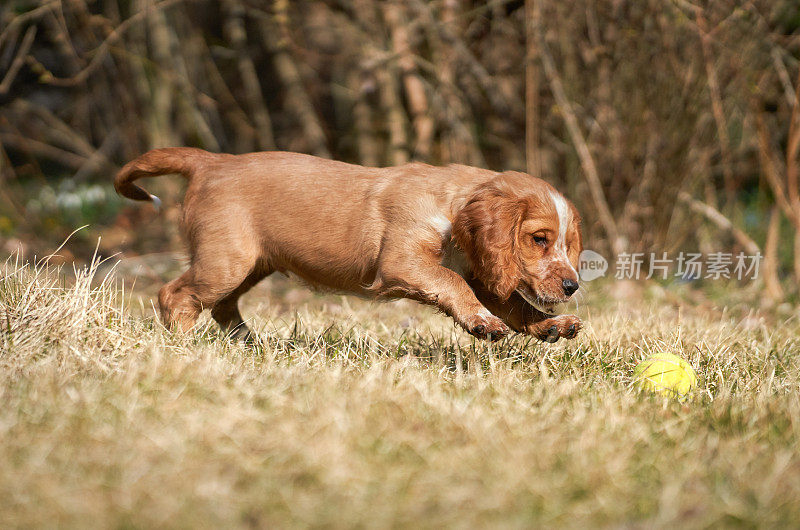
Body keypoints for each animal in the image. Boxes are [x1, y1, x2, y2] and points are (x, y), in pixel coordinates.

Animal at [114, 146, 580, 340]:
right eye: (539, 239)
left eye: (568, 244)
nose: (573, 286)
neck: (450, 203)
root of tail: (212, 161)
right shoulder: (403, 263)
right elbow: (453, 283)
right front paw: (483, 323)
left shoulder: (483, 274)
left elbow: (515, 303)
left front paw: (551, 326)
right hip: (224, 261)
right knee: (175, 294)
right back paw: (184, 345)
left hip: (251, 264)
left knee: (222, 306)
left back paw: (251, 344)